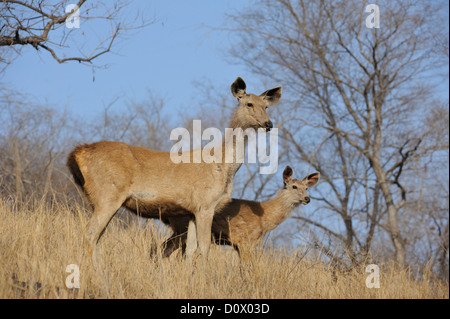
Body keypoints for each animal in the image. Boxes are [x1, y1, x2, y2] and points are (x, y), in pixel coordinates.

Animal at [66, 77, 282, 260]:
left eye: (266, 106)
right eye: (249, 104)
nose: (268, 124)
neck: (224, 166)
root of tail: (78, 153)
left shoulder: (191, 210)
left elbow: (191, 250)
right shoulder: (205, 204)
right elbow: (204, 248)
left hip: (96, 198)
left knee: (96, 235)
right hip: (108, 193)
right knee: (90, 233)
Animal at [162, 166, 320, 258]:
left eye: (306, 188)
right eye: (294, 186)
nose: (307, 198)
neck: (265, 219)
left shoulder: (240, 245)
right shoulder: (245, 241)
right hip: (182, 228)